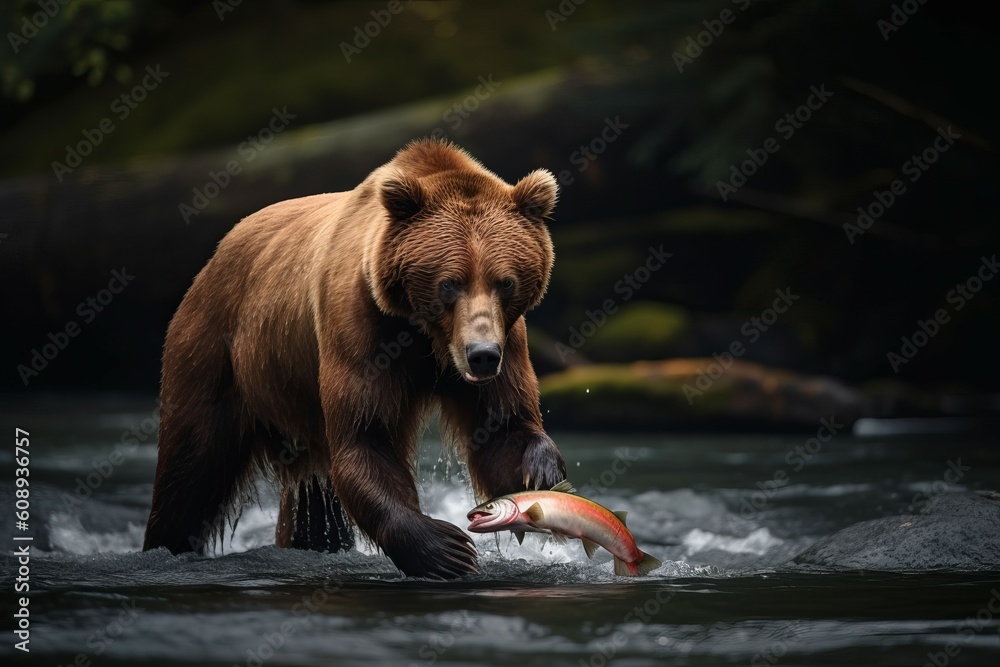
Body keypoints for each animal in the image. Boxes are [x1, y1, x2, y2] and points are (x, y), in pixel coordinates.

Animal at [143, 138, 567, 579]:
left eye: (505, 282)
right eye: (450, 283)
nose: (481, 356)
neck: (425, 334)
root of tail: (214, 256)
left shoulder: (506, 339)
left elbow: (502, 428)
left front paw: (541, 469)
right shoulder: (360, 328)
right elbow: (364, 437)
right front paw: (446, 548)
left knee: (313, 506)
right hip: (215, 351)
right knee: (190, 469)